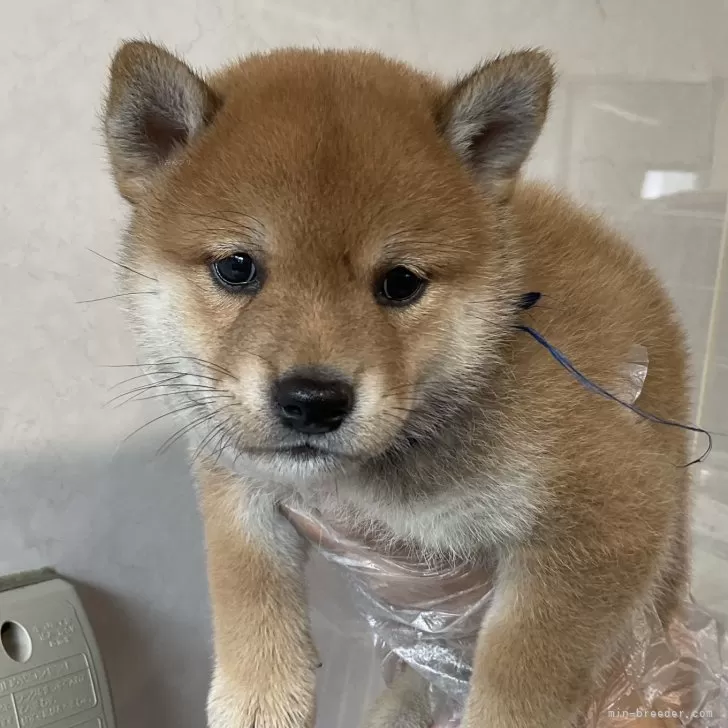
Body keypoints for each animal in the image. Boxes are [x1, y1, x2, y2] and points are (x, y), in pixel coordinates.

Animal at [102, 41, 688, 728]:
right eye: (236, 268)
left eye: (400, 283)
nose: (313, 400)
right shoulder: (238, 479)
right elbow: (246, 587)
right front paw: (259, 695)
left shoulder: (606, 510)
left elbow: (525, 668)